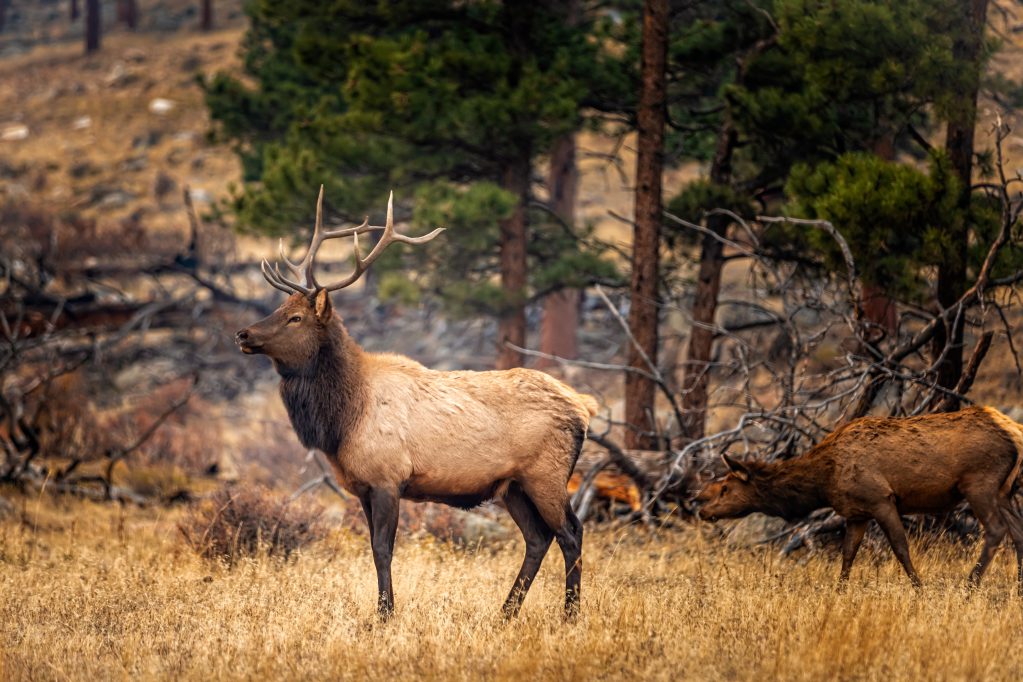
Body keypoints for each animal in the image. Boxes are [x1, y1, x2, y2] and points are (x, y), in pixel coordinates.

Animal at [235, 188, 597, 619]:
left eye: (295, 318)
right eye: (280, 308)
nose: (242, 333)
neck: (343, 420)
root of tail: (583, 407)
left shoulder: (387, 478)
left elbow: (382, 549)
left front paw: (385, 614)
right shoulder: (361, 486)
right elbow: (374, 548)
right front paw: (384, 610)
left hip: (547, 474)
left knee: (571, 532)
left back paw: (570, 614)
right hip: (513, 486)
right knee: (538, 538)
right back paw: (506, 612)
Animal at [694, 407, 1023, 592]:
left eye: (725, 488)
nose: (700, 505)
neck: (823, 481)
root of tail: (1013, 431)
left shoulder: (881, 499)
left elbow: (900, 548)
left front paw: (920, 589)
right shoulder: (856, 512)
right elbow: (848, 554)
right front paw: (839, 592)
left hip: (979, 483)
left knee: (996, 530)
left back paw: (970, 585)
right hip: (1004, 491)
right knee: (1017, 531)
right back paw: (1018, 587)